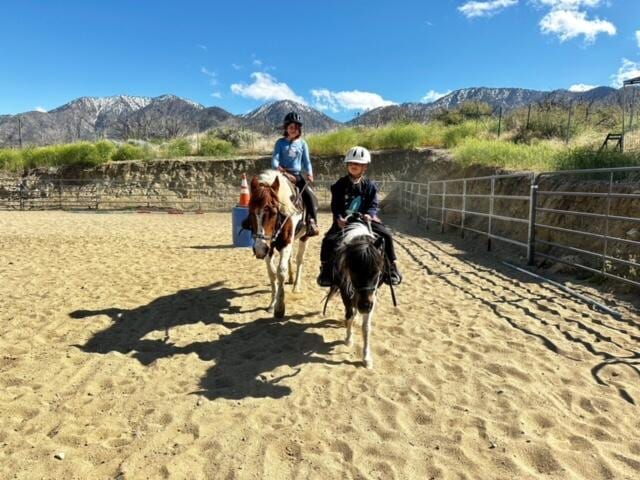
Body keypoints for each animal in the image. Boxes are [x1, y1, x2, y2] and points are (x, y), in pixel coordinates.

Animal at [249, 171, 308, 316]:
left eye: (274, 212)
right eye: (251, 211)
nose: (259, 249)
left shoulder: (286, 243)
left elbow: (281, 271)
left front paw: (280, 307)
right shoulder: (268, 247)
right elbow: (272, 273)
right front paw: (272, 304)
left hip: (304, 237)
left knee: (299, 259)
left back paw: (296, 285)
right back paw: (291, 279)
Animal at [324, 219, 384, 370]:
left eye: (377, 271)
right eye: (353, 271)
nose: (364, 306)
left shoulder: (372, 296)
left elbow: (366, 328)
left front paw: (366, 358)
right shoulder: (345, 291)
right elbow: (349, 315)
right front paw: (348, 339)